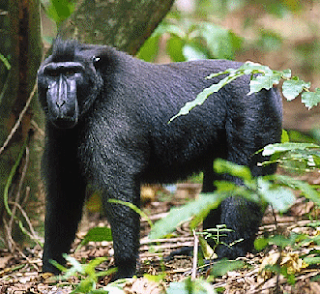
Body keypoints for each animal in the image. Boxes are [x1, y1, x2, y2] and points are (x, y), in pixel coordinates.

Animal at [37, 39, 282, 280]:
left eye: (72, 72)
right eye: (52, 74)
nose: (59, 101)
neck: (100, 88)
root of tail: (263, 75)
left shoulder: (110, 119)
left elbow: (118, 192)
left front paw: (124, 269)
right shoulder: (59, 133)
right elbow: (64, 192)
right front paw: (51, 265)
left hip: (254, 112)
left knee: (243, 180)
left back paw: (228, 253)